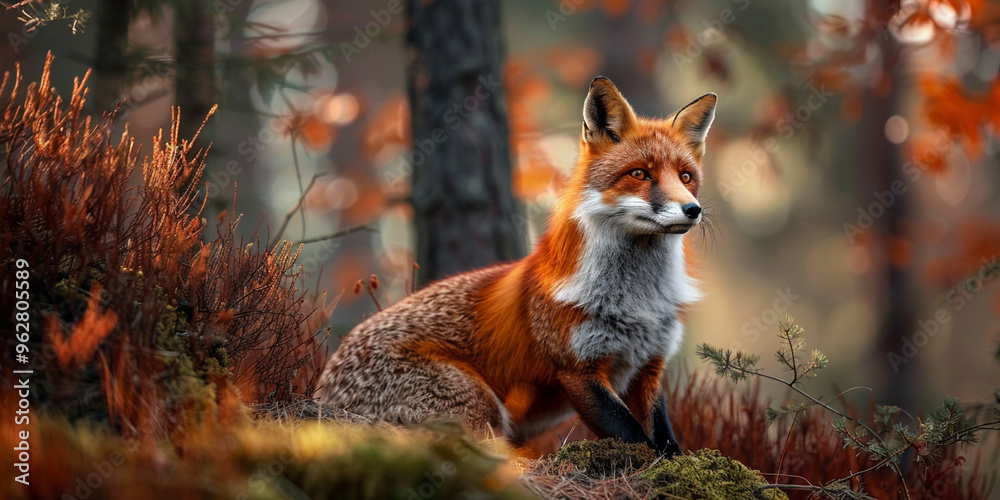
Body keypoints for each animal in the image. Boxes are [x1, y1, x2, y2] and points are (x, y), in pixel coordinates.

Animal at [317, 76, 716, 456]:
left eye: (686, 177)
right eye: (640, 174)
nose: (692, 210)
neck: (637, 302)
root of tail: (321, 391)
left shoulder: (648, 367)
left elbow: (664, 437)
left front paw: (680, 462)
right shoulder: (577, 370)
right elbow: (635, 438)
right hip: (481, 406)